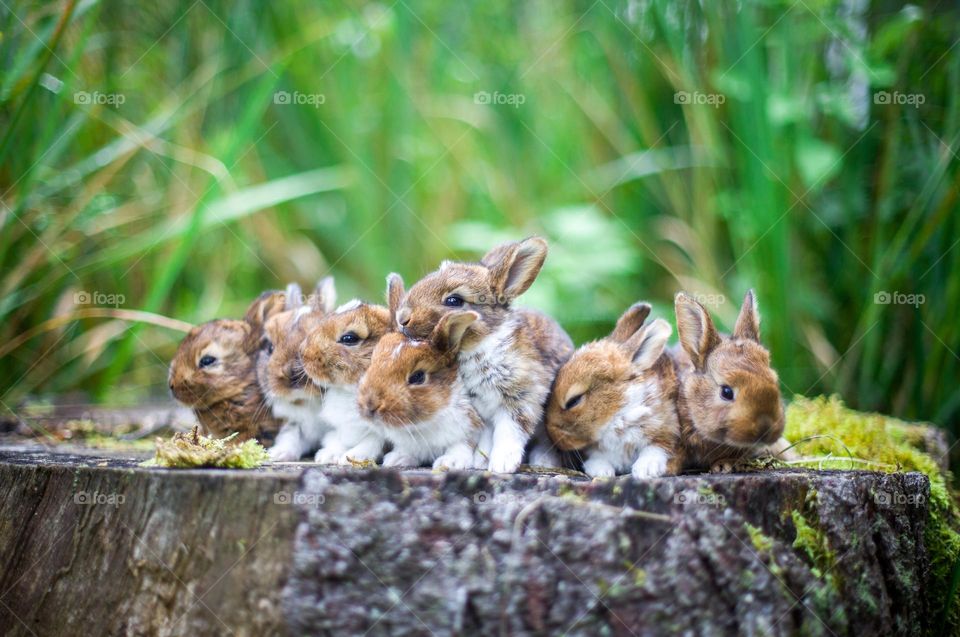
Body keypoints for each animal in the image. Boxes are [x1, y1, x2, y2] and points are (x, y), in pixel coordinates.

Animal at [257, 278, 337, 461]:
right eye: (270, 347)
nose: (289, 372)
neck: (309, 401)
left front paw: (328, 456)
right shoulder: (295, 424)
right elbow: (291, 437)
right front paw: (278, 454)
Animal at [299, 298, 392, 465]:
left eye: (349, 338)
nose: (302, 352)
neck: (349, 390)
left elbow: (372, 442)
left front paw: (351, 458)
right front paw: (326, 456)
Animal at [355, 274, 486, 470]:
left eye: (418, 377)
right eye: (373, 361)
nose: (370, 405)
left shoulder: (470, 426)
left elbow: (462, 445)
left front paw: (450, 462)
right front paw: (397, 459)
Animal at [393, 237, 574, 473]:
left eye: (454, 301)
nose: (402, 318)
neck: (480, 344)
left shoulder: (520, 400)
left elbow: (509, 433)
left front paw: (501, 465)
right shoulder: (481, 412)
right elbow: (484, 438)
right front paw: (478, 462)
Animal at [545, 302, 681, 479]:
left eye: (573, 401)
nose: (551, 434)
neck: (619, 412)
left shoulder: (668, 431)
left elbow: (657, 448)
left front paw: (645, 470)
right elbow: (597, 457)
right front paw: (602, 471)